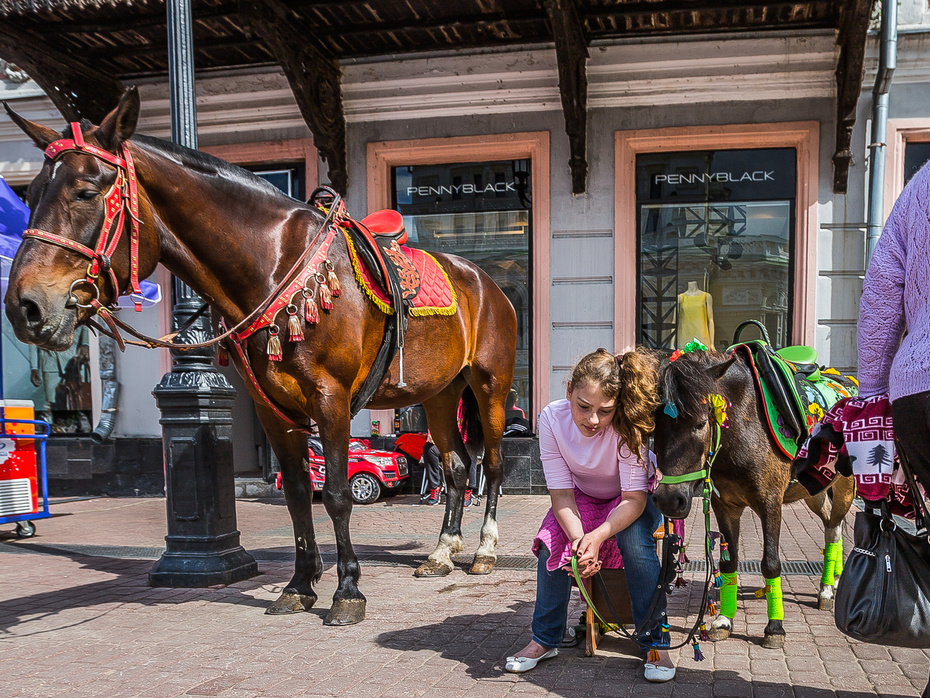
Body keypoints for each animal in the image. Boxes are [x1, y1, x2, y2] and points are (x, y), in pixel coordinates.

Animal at [3, 87, 520, 624]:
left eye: (85, 191)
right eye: (30, 195)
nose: (25, 306)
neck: (274, 261)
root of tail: (486, 282)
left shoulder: (331, 398)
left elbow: (337, 494)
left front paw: (347, 590)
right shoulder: (274, 408)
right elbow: (295, 494)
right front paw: (299, 584)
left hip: (490, 387)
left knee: (494, 463)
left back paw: (484, 550)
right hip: (439, 393)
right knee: (457, 467)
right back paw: (441, 552)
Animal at [648, 350, 852, 648]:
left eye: (700, 423)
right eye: (654, 427)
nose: (668, 500)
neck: (744, 425)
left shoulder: (770, 503)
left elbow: (770, 563)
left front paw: (775, 627)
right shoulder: (725, 505)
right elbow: (728, 561)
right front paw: (724, 620)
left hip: (846, 487)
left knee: (835, 528)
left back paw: (827, 588)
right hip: (814, 490)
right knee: (829, 523)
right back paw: (832, 580)